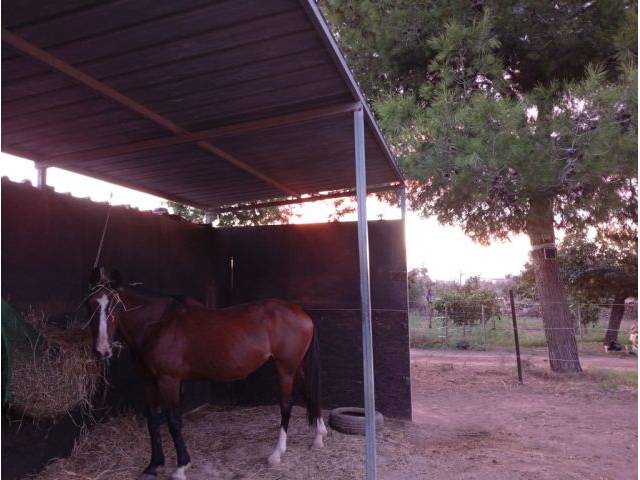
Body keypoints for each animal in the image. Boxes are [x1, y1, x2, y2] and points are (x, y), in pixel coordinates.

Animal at [85, 267, 326, 480]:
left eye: (116, 307)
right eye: (91, 305)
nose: (102, 350)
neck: (156, 326)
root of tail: (302, 313)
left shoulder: (168, 380)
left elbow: (173, 422)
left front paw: (181, 467)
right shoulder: (148, 381)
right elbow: (153, 421)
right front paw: (153, 466)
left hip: (285, 368)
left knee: (286, 404)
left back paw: (277, 454)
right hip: (295, 367)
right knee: (310, 394)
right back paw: (318, 438)